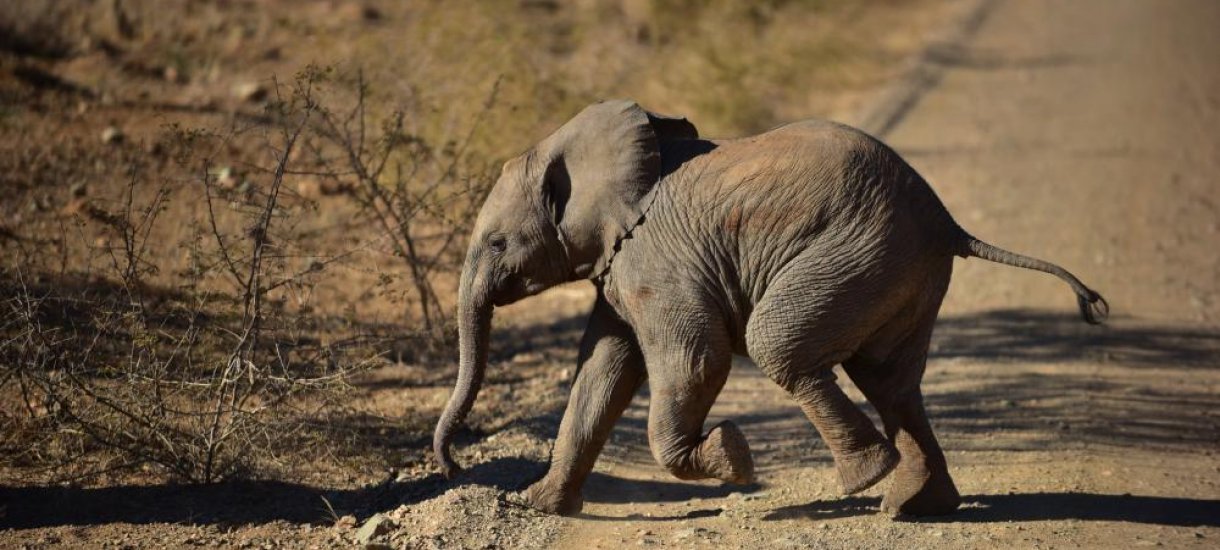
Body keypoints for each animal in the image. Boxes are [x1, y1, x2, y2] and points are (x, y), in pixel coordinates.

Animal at [431, 98, 1107, 517]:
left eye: (498, 243)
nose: (454, 467)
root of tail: (946, 220)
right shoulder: (618, 264)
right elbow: (601, 372)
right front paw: (539, 505)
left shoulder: (654, 260)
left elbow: (693, 360)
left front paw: (733, 459)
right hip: (897, 268)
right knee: (890, 379)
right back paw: (913, 507)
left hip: (857, 251)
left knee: (779, 343)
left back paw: (867, 479)